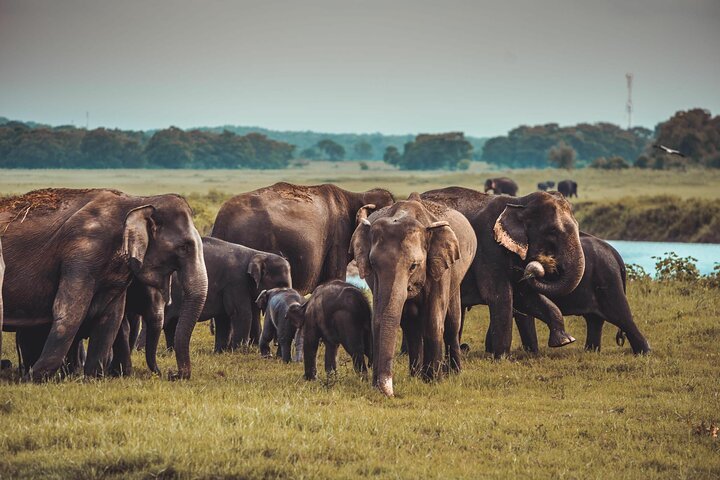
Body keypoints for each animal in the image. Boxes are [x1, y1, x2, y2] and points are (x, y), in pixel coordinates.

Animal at [0, 188, 208, 381]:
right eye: (184, 247)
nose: (172, 373)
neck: (138, 201)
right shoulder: (82, 252)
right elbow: (69, 312)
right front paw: (32, 379)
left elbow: (111, 317)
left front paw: (92, 378)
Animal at [350, 194, 477, 397]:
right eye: (373, 264)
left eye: (414, 266)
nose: (388, 392)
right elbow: (388, 319)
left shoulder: (439, 266)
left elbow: (433, 320)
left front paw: (434, 382)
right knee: (412, 326)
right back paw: (417, 376)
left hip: (456, 274)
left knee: (452, 322)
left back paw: (453, 373)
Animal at [421, 186, 585, 357]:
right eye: (552, 231)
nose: (532, 270)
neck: (519, 203)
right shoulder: (488, 248)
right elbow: (500, 296)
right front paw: (502, 357)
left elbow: (525, 296)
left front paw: (565, 341)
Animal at [509, 233, 650, 354]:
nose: (528, 272)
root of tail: (614, 253)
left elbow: (524, 314)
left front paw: (531, 353)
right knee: (594, 319)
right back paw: (591, 352)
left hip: (608, 278)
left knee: (621, 316)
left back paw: (644, 353)